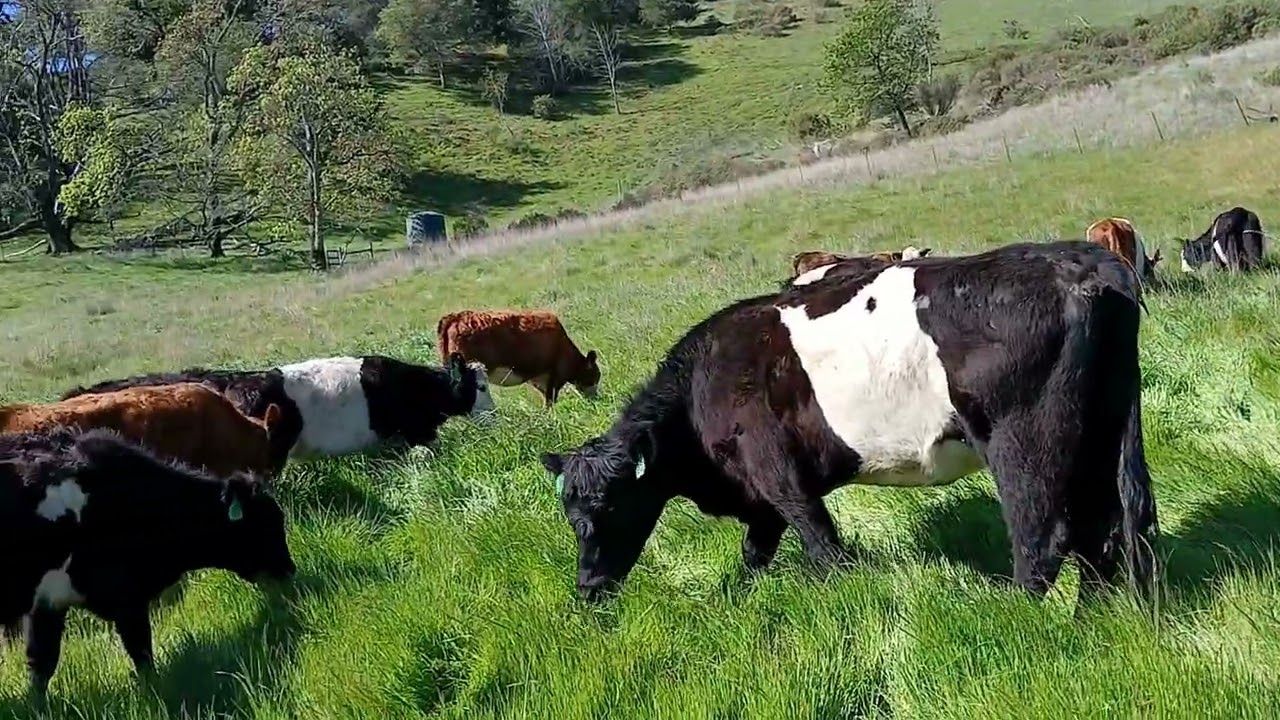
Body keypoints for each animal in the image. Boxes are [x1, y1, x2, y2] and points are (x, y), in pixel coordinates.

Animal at [0, 425, 296, 697]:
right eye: (265, 524)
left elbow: (41, 666)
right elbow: (142, 654)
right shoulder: (127, 598)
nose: (289, 570)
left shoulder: (48, 603)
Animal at [540, 239, 1159, 616]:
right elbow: (754, 554)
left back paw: (1010, 617)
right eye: (570, 514)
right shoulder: (760, 498)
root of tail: (1078, 259)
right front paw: (740, 601)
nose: (587, 589)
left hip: (1024, 444)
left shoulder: (778, 475)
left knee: (1045, 539)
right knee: (1108, 531)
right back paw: (1091, 618)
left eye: (609, 507)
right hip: (1098, 437)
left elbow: (822, 546)